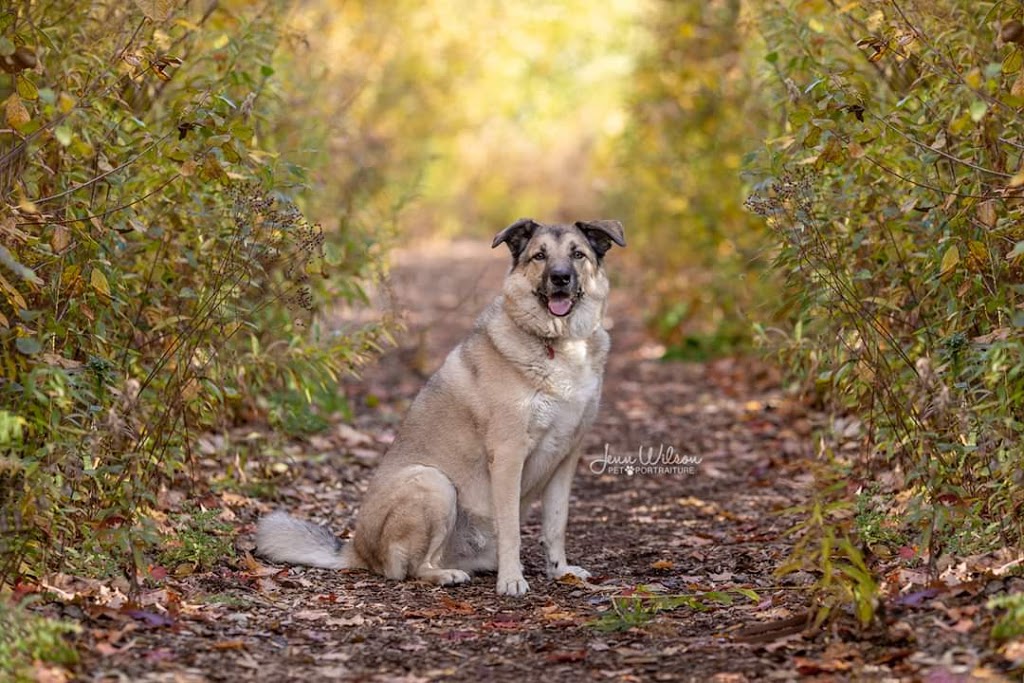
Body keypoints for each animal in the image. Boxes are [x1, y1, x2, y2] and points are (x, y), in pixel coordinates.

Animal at [256, 220, 622, 598]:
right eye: (540, 256)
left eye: (577, 254)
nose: (561, 278)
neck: (560, 343)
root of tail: (357, 548)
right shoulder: (508, 454)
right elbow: (511, 529)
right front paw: (511, 579)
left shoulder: (566, 458)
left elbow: (556, 524)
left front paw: (560, 571)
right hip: (434, 483)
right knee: (408, 569)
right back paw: (446, 575)